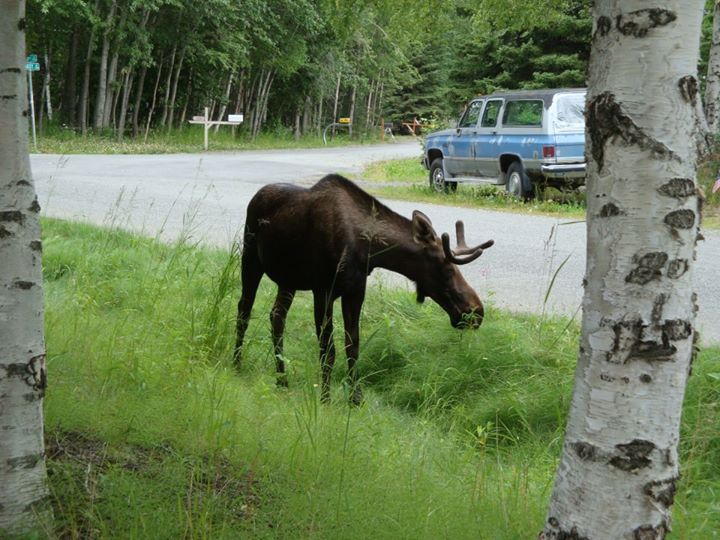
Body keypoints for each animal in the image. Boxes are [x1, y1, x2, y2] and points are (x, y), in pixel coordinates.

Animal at [233, 175, 492, 402]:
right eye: (447, 270)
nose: (476, 311)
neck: (369, 250)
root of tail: (255, 197)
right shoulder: (323, 290)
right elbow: (328, 350)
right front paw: (325, 399)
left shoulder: (355, 291)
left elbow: (353, 346)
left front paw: (355, 399)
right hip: (251, 258)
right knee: (244, 310)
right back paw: (236, 364)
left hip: (288, 280)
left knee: (277, 317)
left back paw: (282, 379)